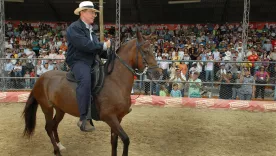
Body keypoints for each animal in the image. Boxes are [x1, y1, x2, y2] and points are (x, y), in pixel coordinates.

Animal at [22, 30, 162, 156]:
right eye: (145, 51)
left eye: (153, 50)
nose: (158, 73)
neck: (116, 81)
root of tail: (41, 78)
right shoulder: (109, 117)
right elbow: (126, 139)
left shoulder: (118, 118)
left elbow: (114, 142)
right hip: (47, 108)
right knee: (48, 127)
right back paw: (57, 150)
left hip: (60, 110)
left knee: (53, 126)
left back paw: (60, 146)